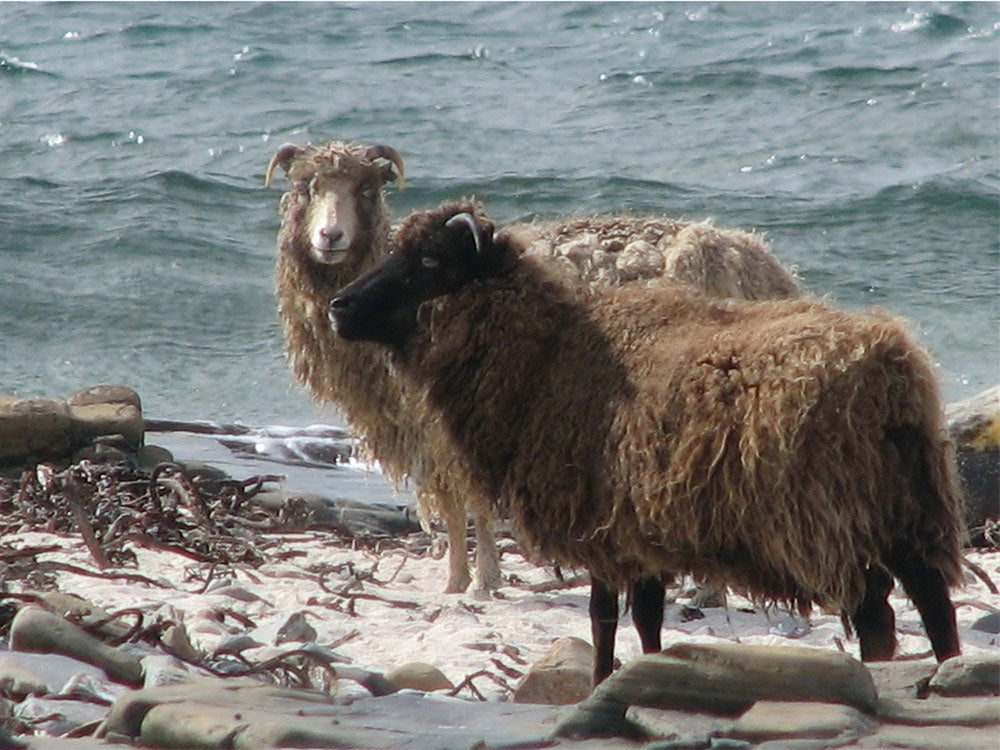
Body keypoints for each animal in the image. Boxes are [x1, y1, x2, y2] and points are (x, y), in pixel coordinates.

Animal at [267, 141, 802, 598]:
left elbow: (473, 506)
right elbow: (455, 509)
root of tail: (761, 262)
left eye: (365, 188)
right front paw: (457, 582)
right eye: (305, 187)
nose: (330, 236)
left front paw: (480, 581)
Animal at [329, 200, 965, 685]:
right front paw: (650, 673)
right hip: (910, 511)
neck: (548, 356)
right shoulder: (640, 531)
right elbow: (649, 620)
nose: (339, 306)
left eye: (429, 260)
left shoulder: (601, 528)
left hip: (835, 520)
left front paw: (602, 680)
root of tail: (890, 365)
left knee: (877, 616)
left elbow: (604, 619)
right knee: (935, 606)